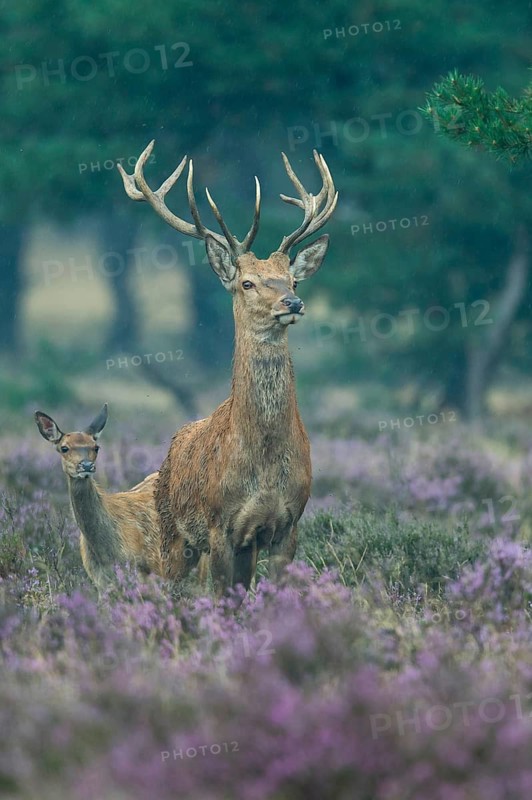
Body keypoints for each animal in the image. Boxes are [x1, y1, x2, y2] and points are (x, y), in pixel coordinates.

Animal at [118, 141, 337, 596]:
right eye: (247, 282)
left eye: (293, 280)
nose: (293, 302)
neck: (263, 466)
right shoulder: (221, 525)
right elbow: (220, 597)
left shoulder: (287, 524)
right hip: (174, 534)